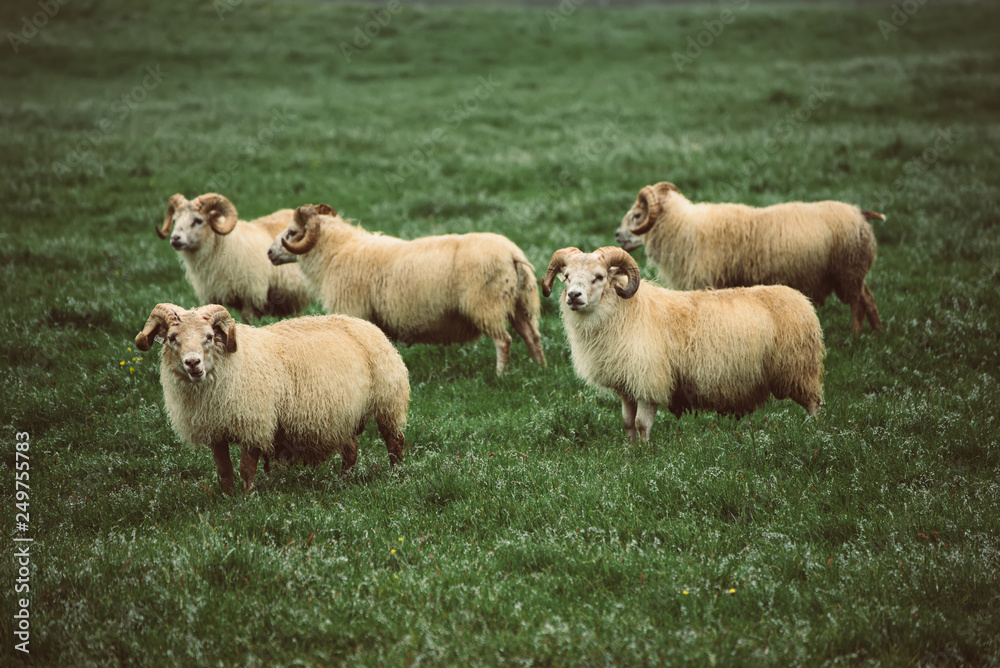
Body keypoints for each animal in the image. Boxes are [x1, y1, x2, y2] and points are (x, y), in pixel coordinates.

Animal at [135, 302, 409, 492]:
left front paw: (248, 497)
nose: (193, 363)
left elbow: (246, 468)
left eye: (209, 337)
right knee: (351, 448)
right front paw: (227, 497)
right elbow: (224, 469)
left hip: (388, 401)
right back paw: (344, 480)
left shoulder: (254, 422)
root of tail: (365, 324)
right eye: (172, 339)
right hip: (342, 415)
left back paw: (396, 475)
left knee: (394, 441)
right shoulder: (216, 429)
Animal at [157, 193, 314, 323]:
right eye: (174, 220)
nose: (175, 239)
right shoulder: (214, 295)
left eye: (198, 220)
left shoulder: (249, 296)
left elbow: (247, 321)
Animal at [266, 204, 546, 375]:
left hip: (487, 305)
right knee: (532, 336)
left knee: (504, 341)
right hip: (520, 303)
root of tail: (512, 254)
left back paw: (499, 376)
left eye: (292, 232)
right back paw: (539, 368)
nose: (269, 252)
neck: (336, 252)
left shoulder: (353, 310)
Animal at [542, 246, 825, 442]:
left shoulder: (649, 381)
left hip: (799, 370)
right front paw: (630, 452)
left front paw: (644, 454)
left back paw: (815, 436)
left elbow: (642, 423)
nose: (573, 296)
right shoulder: (627, 384)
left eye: (599, 277)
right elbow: (627, 422)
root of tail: (800, 299)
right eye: (567, 276)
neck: (624, 312)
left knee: (814, 405)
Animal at [614, 182, 884, 333]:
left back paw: (855, 335)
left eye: (637, 215)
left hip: (848, 272)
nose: (617, 234)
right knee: (869, 299)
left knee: (858, 304)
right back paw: (876, 333)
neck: (682, 229)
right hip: (855, 272)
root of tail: (860, 214)